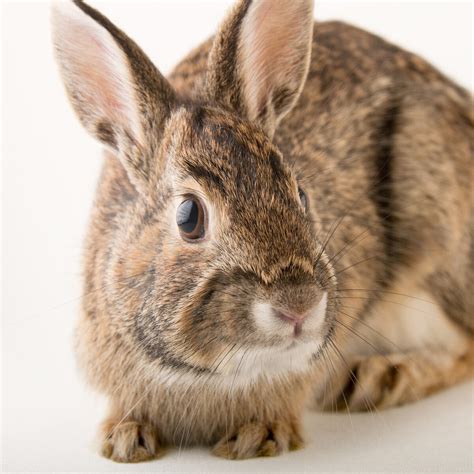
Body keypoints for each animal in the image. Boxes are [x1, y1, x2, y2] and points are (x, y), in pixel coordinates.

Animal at [50, 0, 472, 462]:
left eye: (301, 194)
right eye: (188, 216)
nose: (299, 305)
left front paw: (257, 435)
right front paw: (124, 438)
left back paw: (379, 377)